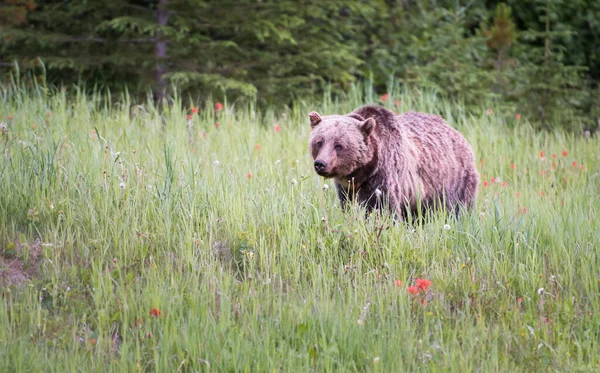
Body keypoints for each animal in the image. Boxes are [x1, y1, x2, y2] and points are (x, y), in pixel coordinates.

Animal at [310, 104, 478, 219]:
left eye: (339, 145)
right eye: (319, 142)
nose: (321, 163)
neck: (361, 172)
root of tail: (458, 133)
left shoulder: (382, 177)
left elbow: (382, 208)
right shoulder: (347, 188)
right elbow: (348, 205)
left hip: (454, 181)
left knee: (458, 210)